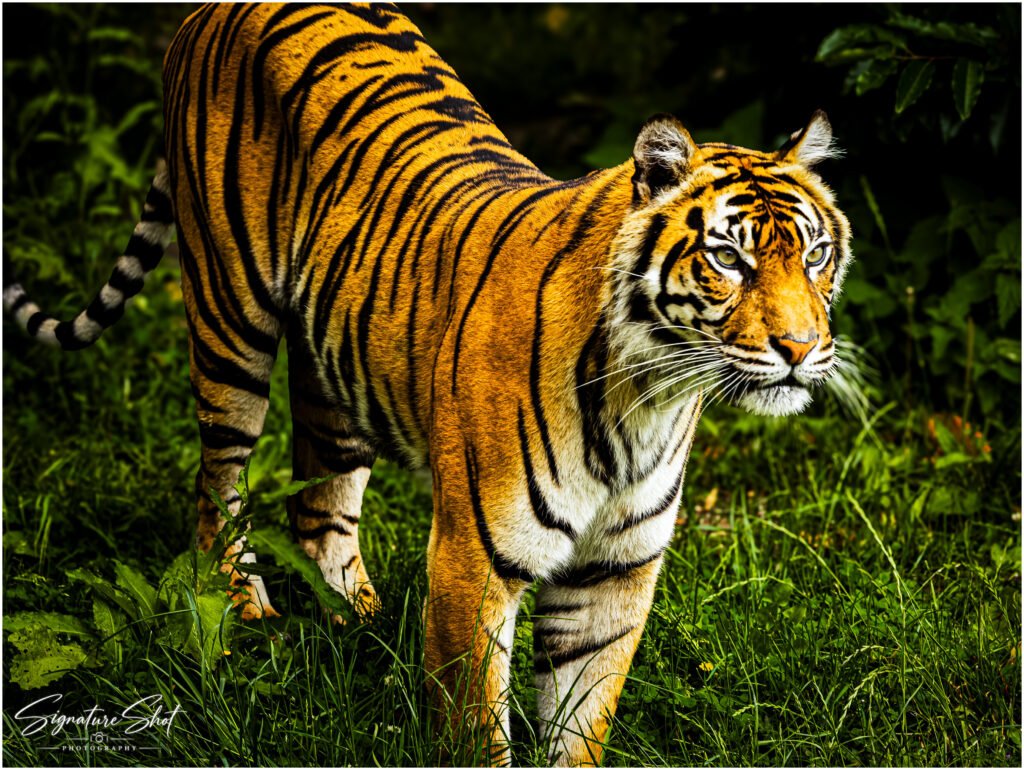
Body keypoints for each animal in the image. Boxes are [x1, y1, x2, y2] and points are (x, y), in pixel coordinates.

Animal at [3, 3, 851, 766]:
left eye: (814, 255)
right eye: (730, 259)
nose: (802, 348)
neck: (647, 400)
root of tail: (210, 8)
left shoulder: (614, 575)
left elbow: (581, 725)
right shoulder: (473, 563)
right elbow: (477, 732)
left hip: (338, 363)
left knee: (320, 504)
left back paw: (353, 618)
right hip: (228, 317)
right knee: (218, 483)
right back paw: (242, 605)